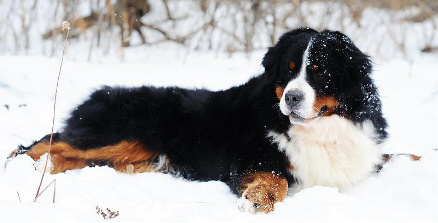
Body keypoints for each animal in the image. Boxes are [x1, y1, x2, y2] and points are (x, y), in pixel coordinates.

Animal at [8, 27, 388, 213]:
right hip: (120, 132)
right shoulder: (248, 160)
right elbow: (275, 179)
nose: (291, 98)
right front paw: (257, 199)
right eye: (288, 71)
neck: (322, 128)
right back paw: (21, 166)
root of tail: (101, 93)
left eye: (320, 71)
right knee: (43, 142)